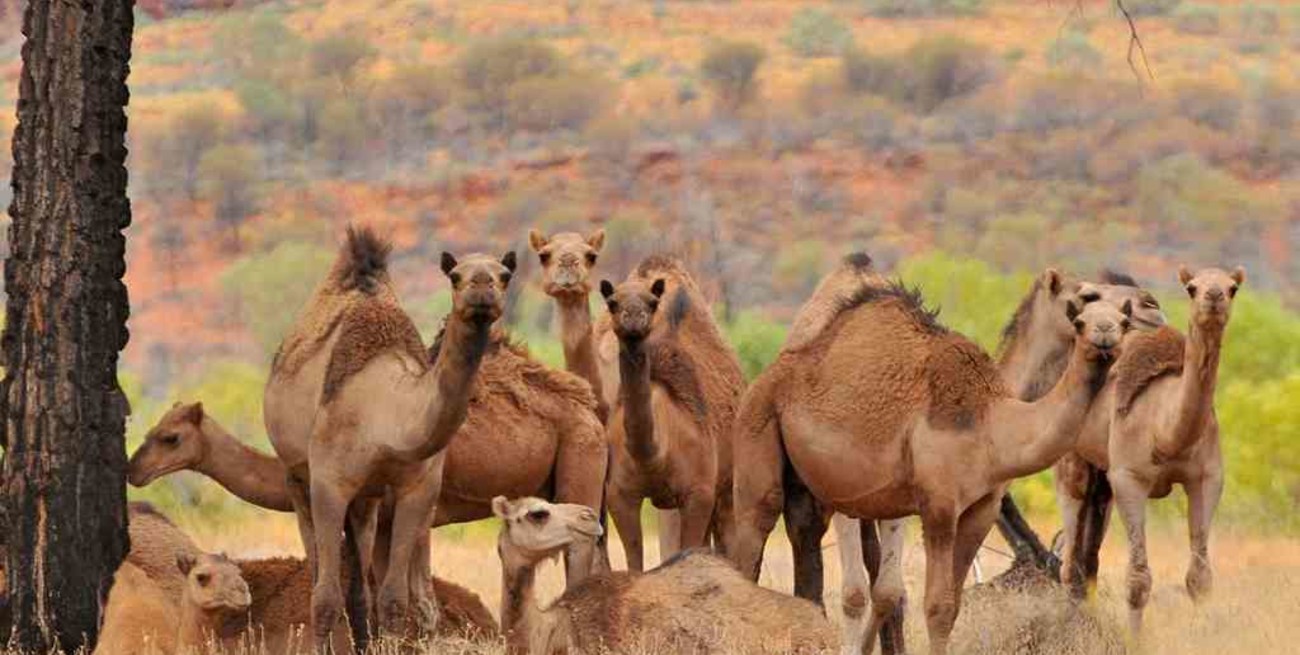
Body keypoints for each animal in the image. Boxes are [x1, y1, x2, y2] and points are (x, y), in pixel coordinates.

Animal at [262, 226, 512, 644]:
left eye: (504, 275)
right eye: (455, 276)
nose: (481, 288)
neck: (387, 416)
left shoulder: (417, 488)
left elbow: (394, 597)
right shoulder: (328, 482)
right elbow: (324, 597)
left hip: (367, 499)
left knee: (361, 584)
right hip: (295, 475)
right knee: (317, 573)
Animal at [595, 253, 743, 571]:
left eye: (652, 302)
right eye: (612, 302)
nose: (634, 318)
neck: (654, 452)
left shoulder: (699, 492)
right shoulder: (619, 495)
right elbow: (635, 562)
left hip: (726, 484)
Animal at [733, 257, 1138, 655]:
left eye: (1123, 322)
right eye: (1080, 316)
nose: (1104, 333)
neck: (992, 422)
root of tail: (769, 374)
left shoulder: (981, 508)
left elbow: (950, 605)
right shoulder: (939, 505)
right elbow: (937, 606)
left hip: (810, 486)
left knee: (805, 538)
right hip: (759, 430)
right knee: (753, 537)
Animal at [1060, 266, 1242, 634]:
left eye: (1233, 288)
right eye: (1191, 288)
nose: (1214, 296)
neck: (1167, 430)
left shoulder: (1207, 478)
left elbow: (1199, 577)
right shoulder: (1129, 478)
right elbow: (1138, 579)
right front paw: (1134, 640)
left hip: (1102, 480)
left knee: (1088, 557)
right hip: (1073, 460)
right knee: (1069, 559)